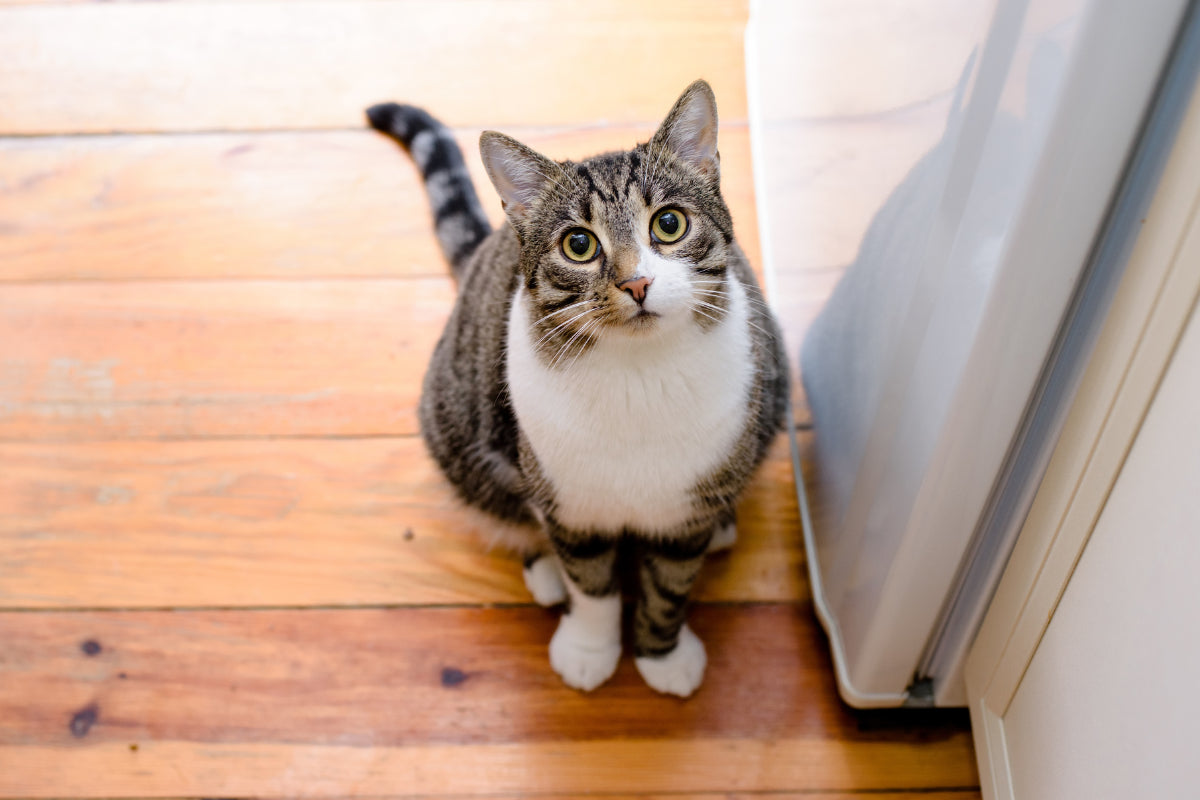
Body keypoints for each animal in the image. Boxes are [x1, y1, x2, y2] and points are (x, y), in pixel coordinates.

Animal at [369, 77, 792, 695]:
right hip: (459, 429)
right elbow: (591, 584)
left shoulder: (687, 505)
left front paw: (662, 655)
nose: (637, 283)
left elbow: (669, 586)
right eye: (578, 244)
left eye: (669, 224)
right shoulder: (570, 505)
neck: (639, 375)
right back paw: (544, 569)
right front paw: (591, 648)